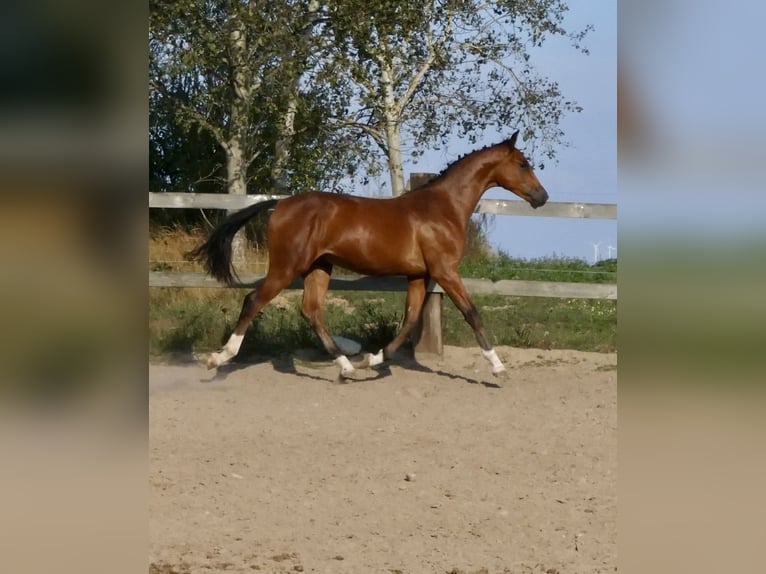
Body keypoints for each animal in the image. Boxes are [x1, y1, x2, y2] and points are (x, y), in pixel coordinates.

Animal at [189, 130, 548, 380]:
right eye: (523, 164)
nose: (542, 197)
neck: (443, 208)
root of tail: (281, 204)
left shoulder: (419, 274)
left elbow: (410, 320)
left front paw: (372, 359)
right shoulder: (445, 270)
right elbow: (472, 313)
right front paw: (498, 368)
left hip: (319, 267)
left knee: (312, 311)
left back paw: (347, 367)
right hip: (287, 266)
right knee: (254, 301)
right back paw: (218, 358)